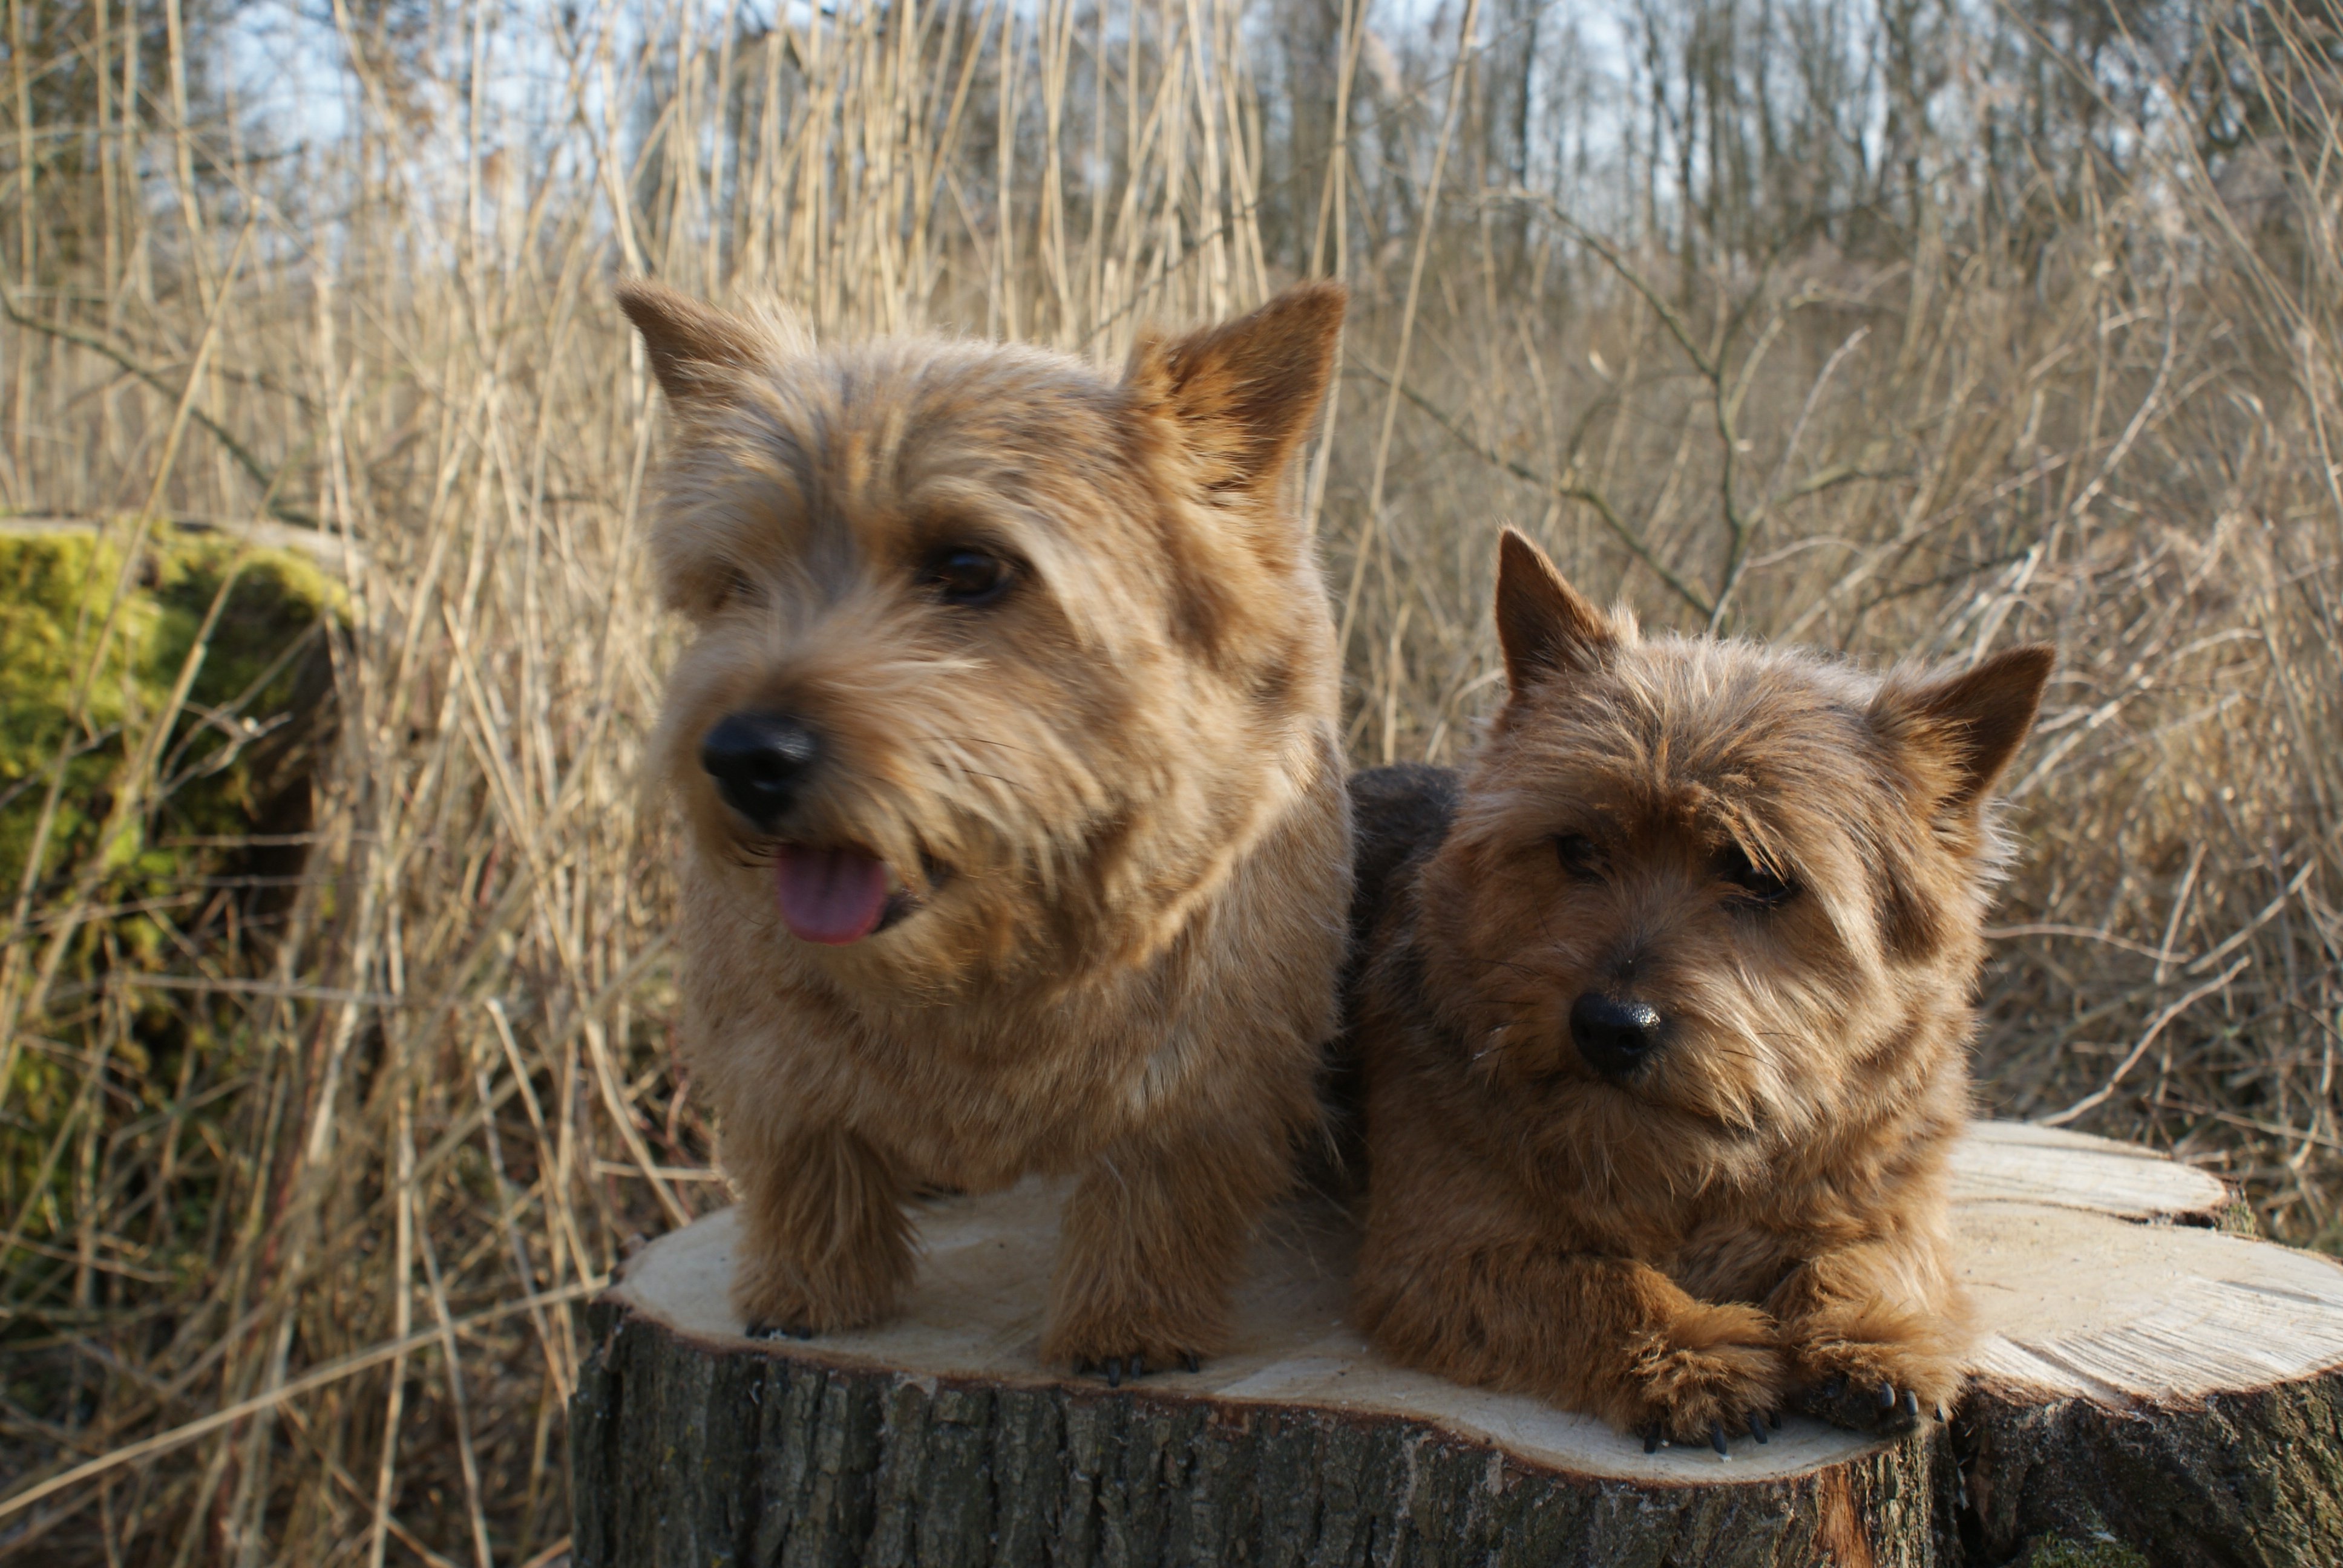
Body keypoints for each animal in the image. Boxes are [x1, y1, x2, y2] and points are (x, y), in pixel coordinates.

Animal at [623, 278, 1358, 1368]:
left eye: (970, 568)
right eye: (739, 579)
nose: (744, 754)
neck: (990, 978)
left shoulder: (1207, 1070)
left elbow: (1155, 1190)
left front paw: (1129, 1324)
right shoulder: (768, 1053)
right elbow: (810, 1160)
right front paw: (807, 1292)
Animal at [1349, 532, 2043, 1453]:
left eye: (1760, 877)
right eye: (1577, 847)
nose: (1610, 1026)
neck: (1687, 1167)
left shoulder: (1898, 1198)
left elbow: (1874, 1253)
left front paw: (1872, 1337)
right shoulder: (1444, 1253)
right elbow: (1599, 1280)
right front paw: (1692, 1351)